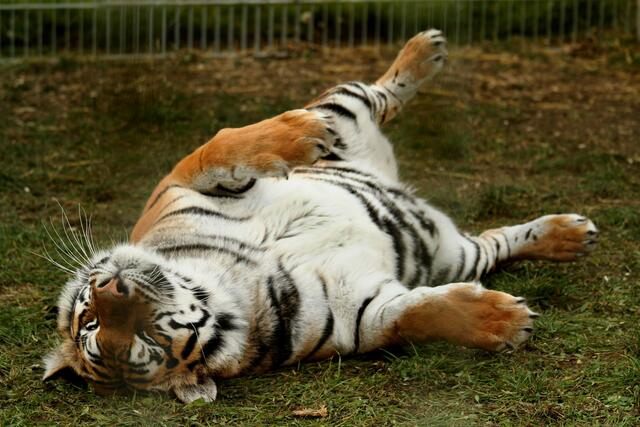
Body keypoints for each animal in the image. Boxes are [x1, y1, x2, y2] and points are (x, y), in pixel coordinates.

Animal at [43, 29, 598, 403]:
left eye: (88, 317)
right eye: (143, 339)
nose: (110, 286)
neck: (232, 282)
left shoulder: (175, 187)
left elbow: (223, 145)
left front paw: (300, 133)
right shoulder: (364, 316)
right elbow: (421, 316)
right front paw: (504, 320)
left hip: (346, 107)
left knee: (379, 93)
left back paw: (423, 50)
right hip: (455, 254)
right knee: (497, 241)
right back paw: (571, 237)